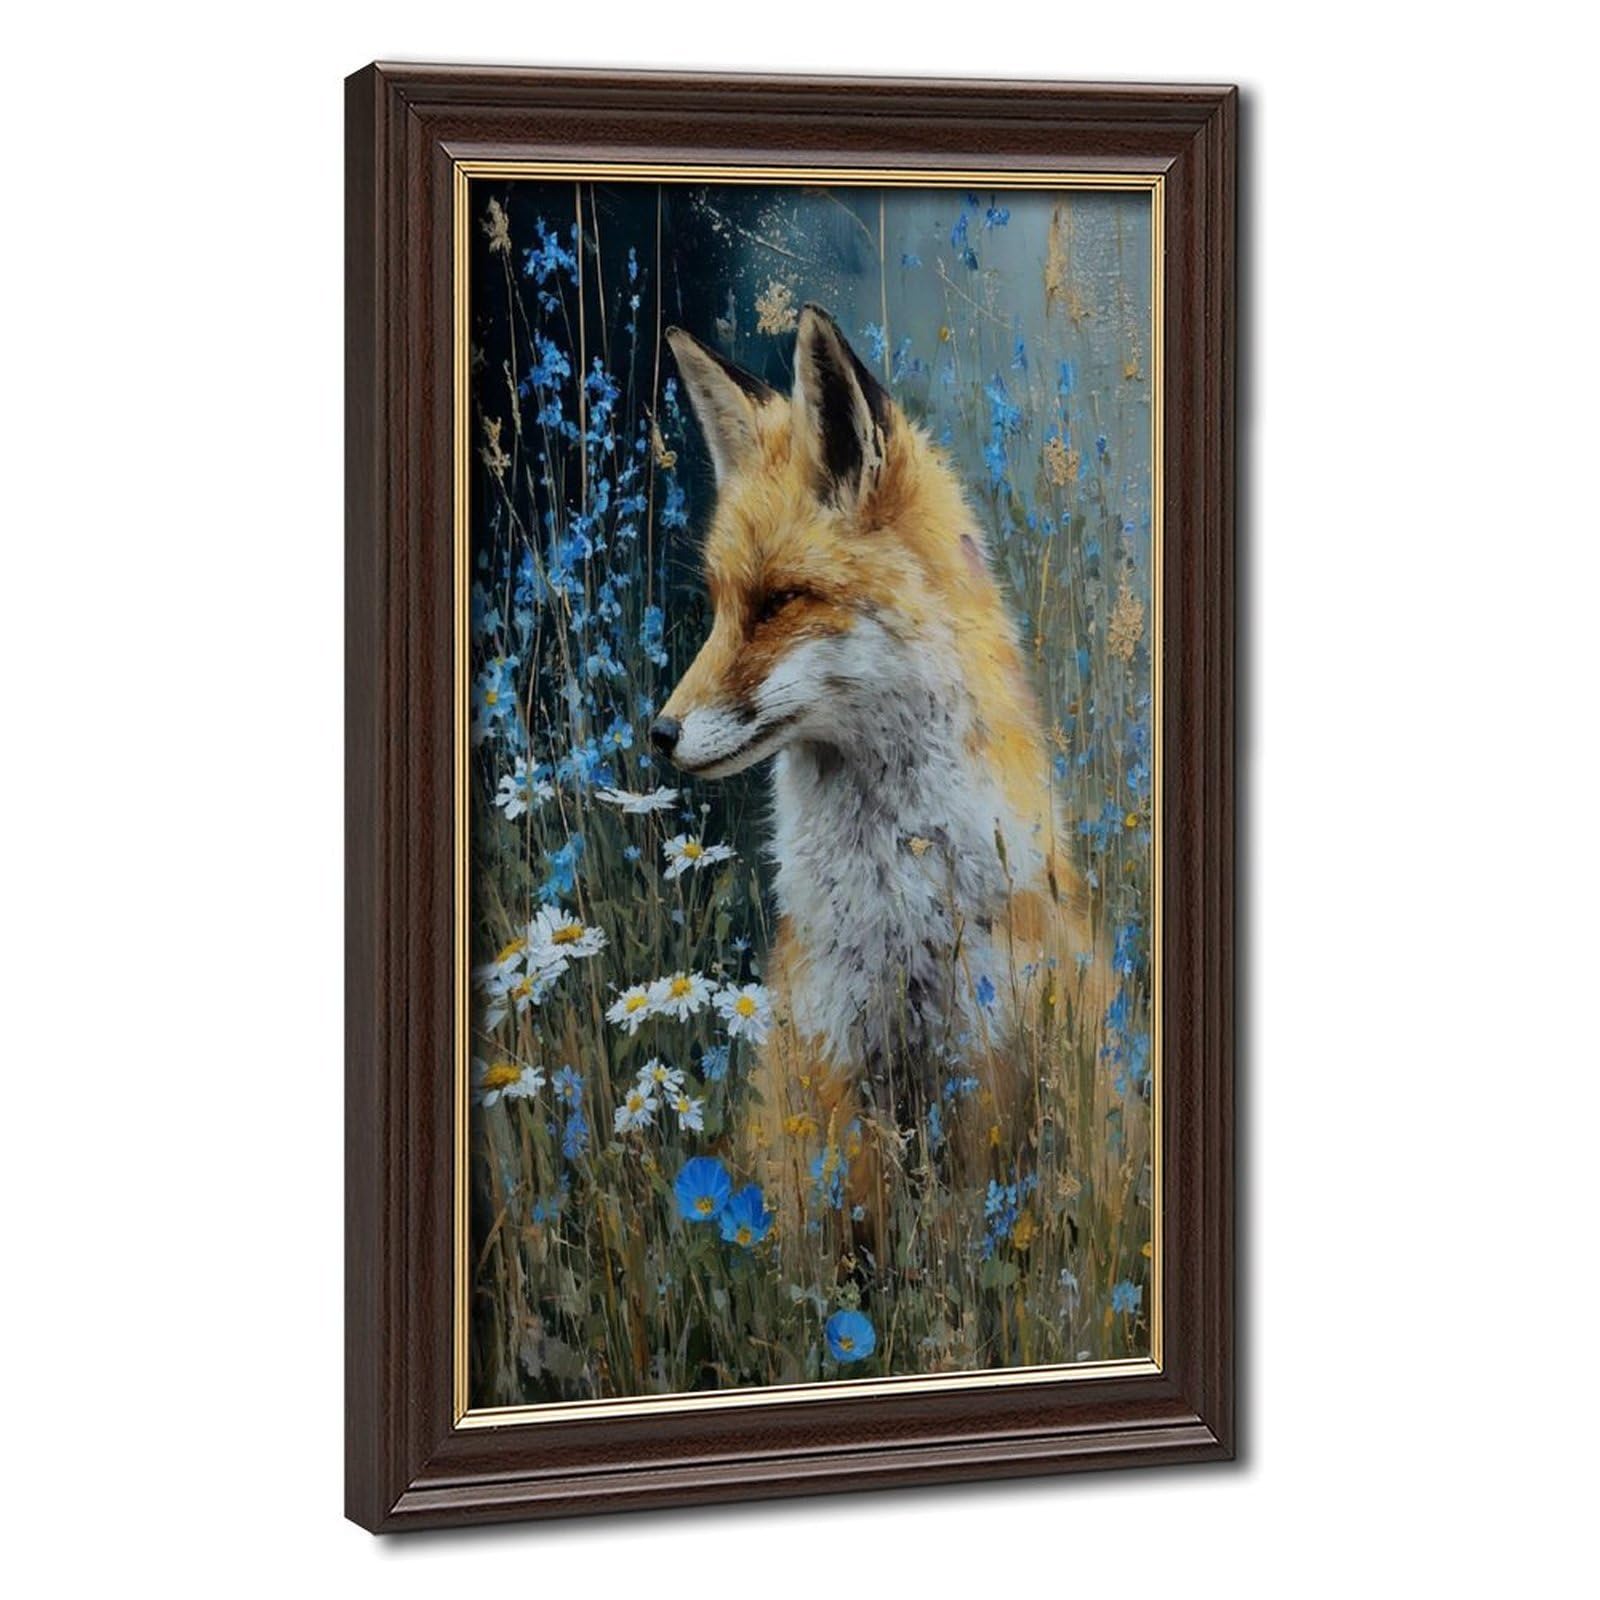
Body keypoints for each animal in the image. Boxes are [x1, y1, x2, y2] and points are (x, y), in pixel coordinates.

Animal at [654, 305, 1103, 1242]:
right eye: (720, 605)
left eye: (781, 602)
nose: (658, 734)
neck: (893, 904)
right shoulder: (829, 1069)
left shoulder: (982, 1063)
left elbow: (963, 1247)